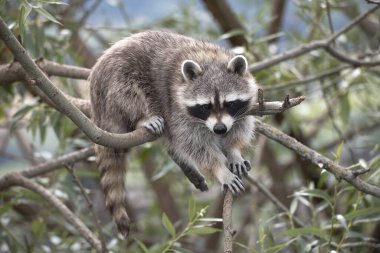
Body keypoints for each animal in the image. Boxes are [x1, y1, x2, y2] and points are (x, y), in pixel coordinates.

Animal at [90, 30, 258, 236]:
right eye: (206, 106)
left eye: (230, 104)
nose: (220, 129)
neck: (210, 60)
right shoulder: (176, 107)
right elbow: (194, 144)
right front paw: (220, 170)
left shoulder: (244, 109)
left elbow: (241, 127)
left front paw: (234, 151)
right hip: (115, 82)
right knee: (128, 94)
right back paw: (142, 118)